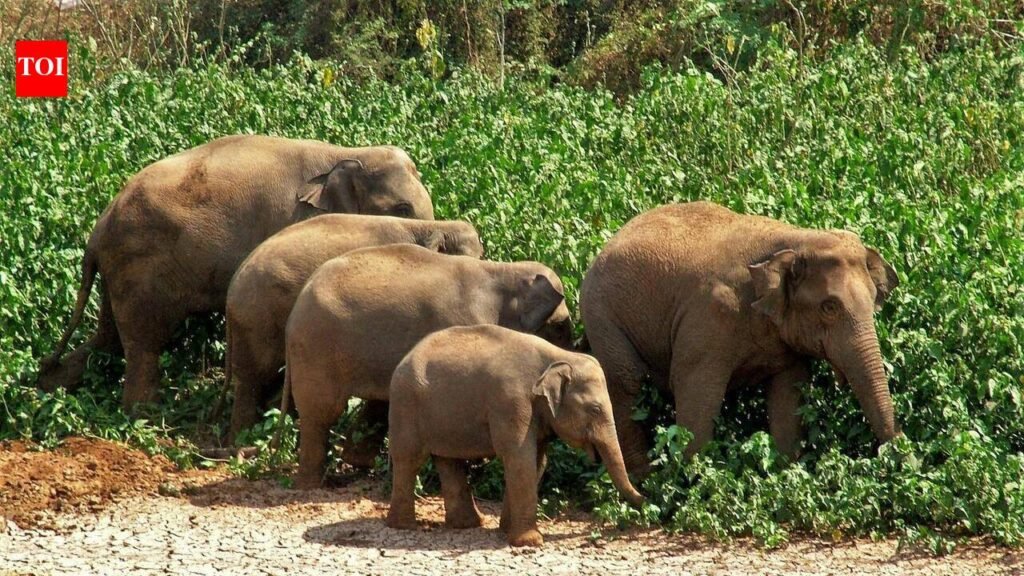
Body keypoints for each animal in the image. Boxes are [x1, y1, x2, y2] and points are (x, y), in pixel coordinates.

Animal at [38, 134, 434, 409]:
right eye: (402, 208)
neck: (346, 153)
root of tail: (98, 229)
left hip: (119, 271)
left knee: (108, 339)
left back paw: (48, 385)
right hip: (140, 267)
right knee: (143, 343)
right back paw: (144, 416)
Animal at [282, 244, 574, 488]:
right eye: (560, 327)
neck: (502, 271)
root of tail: (294, 310)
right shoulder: (464, 320)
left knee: (376, 401)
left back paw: (357, 464)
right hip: (315, 346)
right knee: (322, 412)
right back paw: (313, 484)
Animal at [386, 324, 644, 547]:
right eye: (595, 409)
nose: (646, 498)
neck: (557, 357)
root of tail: (405, 358)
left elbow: (537, 461)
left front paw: (506, 530)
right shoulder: (510, 401)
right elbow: (520, 457)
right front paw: (530, 542)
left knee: (448, 461)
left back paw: (468, 524)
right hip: (405, 405)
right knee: (409, 459)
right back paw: (404, 526)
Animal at [580, 201, 900, 476]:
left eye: (874, 301)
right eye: (829, 307)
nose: (894, 452)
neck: (797, 239)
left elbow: (788, 398)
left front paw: (784, 473)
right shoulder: (711, 318)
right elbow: (694, 395)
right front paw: (694, 484)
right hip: (602, 316)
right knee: (627, 381)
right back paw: (645, 485)